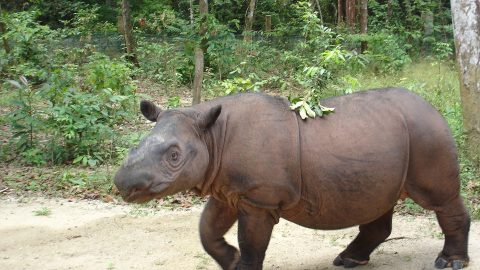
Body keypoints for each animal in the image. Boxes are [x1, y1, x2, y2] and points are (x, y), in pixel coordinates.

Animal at [115, 88, 468, 268]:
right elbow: (207, 230)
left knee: (440, 198)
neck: (210, 135)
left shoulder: (259, 198)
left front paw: (242, 264)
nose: (122, 184)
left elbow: (252, 243)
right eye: (134, 146)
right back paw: (348, 260)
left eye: (174, 156)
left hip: (427, 133)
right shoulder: (228, 190)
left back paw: (449, 262)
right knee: (378, 201)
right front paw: (230, 261)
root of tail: (432, 106)